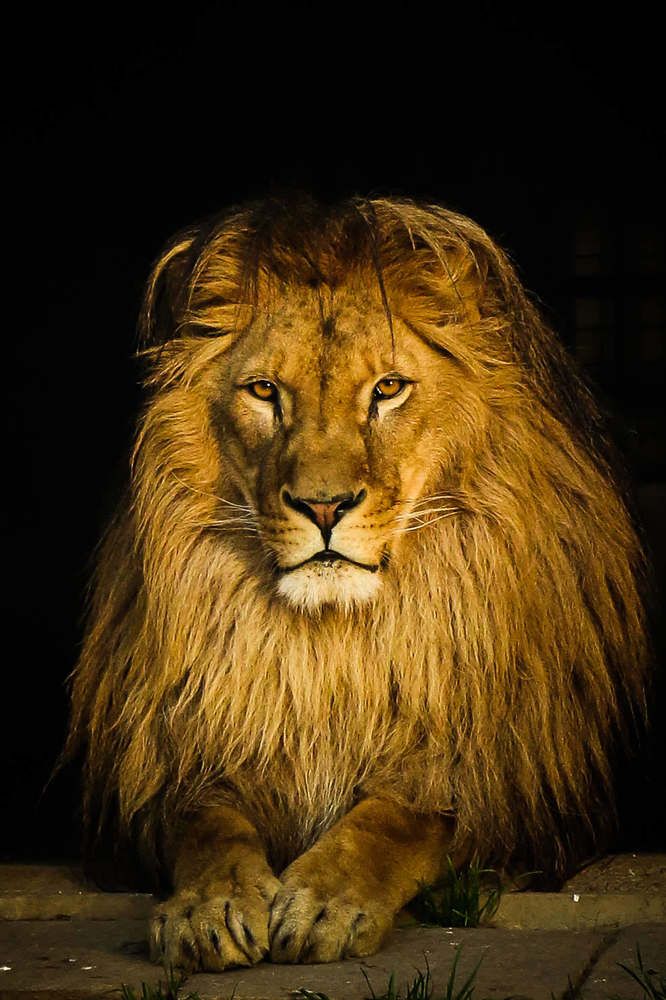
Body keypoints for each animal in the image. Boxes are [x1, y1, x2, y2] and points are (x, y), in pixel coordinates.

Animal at [66, 195, 648, 972]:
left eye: (388, 389)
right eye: (264, 391)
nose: (323, 506)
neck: (335, 648)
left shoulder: (514, 791)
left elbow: (405, 815)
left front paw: (324, 900)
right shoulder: (175, 766)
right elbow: (205, 821)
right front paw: (207, 908)